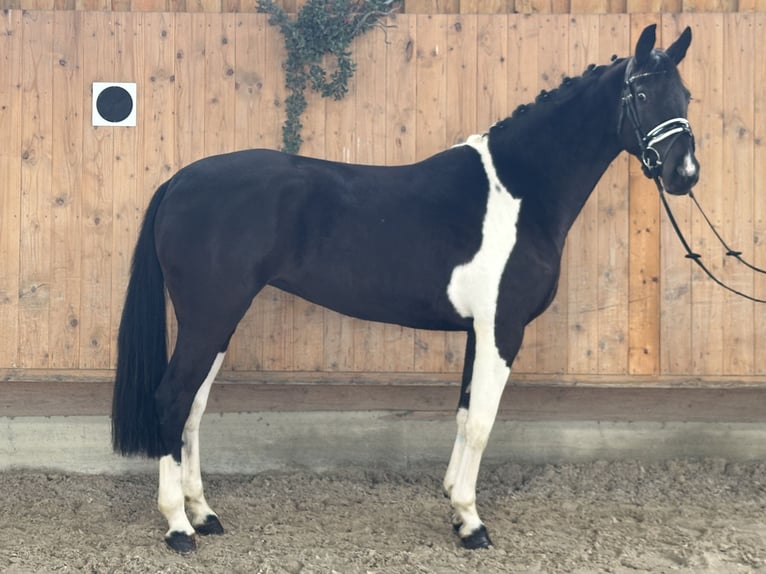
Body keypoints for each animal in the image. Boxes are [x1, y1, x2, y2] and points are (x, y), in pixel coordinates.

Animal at [109, 24, 704, 556]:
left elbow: (464, 415)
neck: (519, 191)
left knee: (192, 406)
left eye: (687, 96)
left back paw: (203, 515)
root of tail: (180, 181)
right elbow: (483, 423)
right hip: (210, 315)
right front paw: (472, 524)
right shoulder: (502, 328)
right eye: (643, 95)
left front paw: (455, 506)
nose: (685, 173)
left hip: (218, 321)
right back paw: (178, 528)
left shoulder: (478, 331)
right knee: (171, 399)